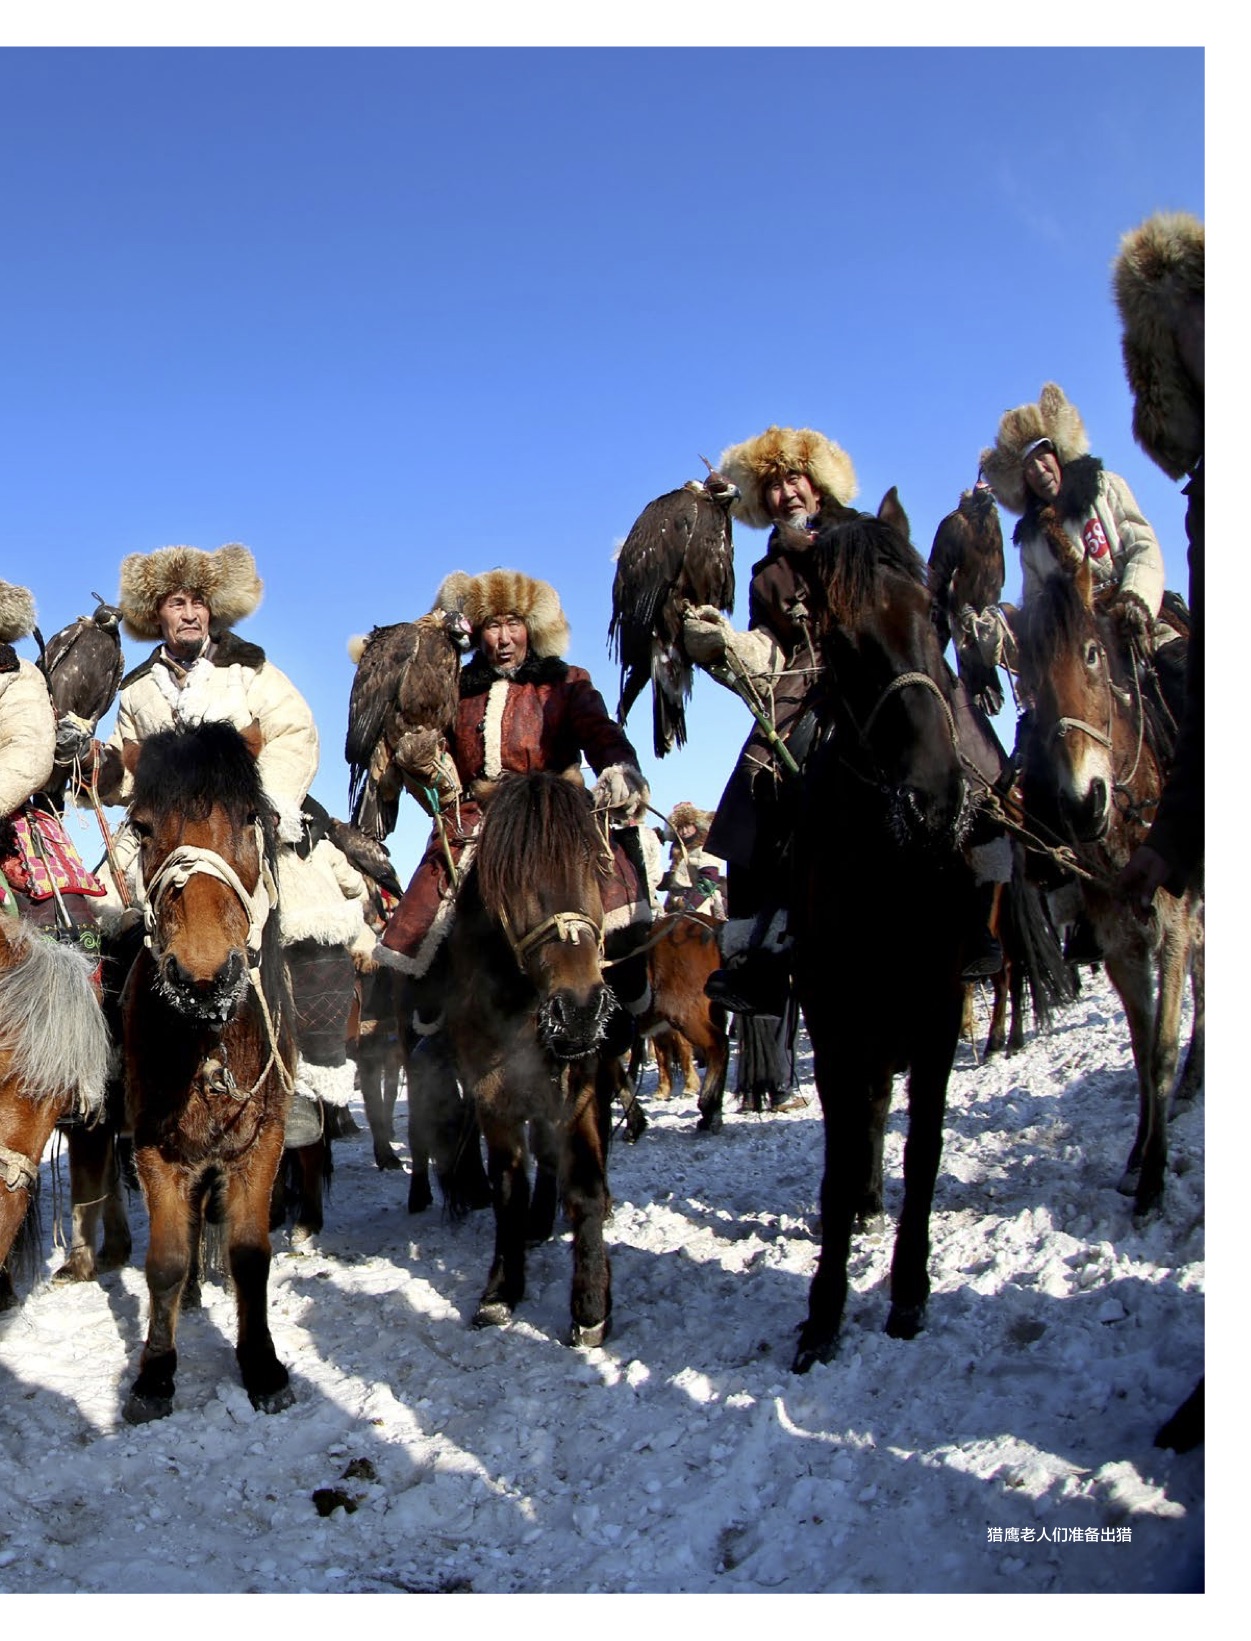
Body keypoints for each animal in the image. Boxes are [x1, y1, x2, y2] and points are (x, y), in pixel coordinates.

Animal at [119, 718, 300, 1424]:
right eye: (141, 827)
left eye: (249, 818)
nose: (202, 977)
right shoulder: (155, 1150)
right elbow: (166, 1261)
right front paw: (155, 1374)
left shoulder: (262, 1144)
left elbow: (250, 1257)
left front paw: (262, 1366)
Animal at [439, 771, 627, 1345]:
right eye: (512, 879)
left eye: (595, 863)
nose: (580, 1010)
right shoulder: (494, 1101)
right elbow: (508, 1191)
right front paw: (502, 1289)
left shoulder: (577, 1093)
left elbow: (584, 1187)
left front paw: (590, 1306)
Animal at [1011, 564, 1201, 1220]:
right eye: (1028, 679)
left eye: (1093, 655)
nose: (1081, 802)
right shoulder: (1120, 947)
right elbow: (1143, 1052)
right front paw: (1140, 1155)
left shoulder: (1171, 933)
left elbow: (1162, 1050)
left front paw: (1154, 1180)